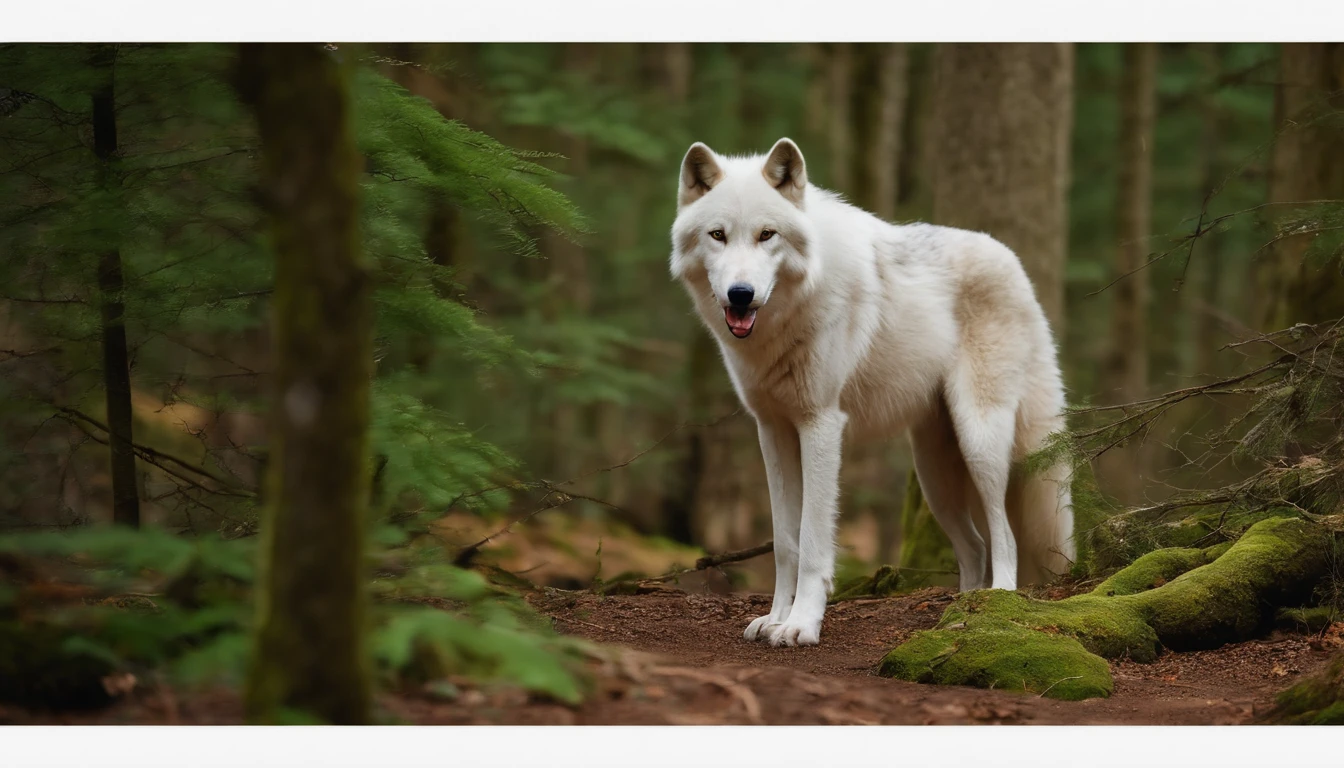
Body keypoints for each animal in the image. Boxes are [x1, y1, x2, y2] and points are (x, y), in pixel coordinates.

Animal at [669, 139, 1069, 648]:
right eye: (718, 235)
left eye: (766, 235)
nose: (742, 294)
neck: (789, 315)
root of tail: (1016, 266)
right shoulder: (772, 430)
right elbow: (784, 542)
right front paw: (774, 619)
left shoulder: (821, 425)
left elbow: (813, 541)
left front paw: (801, 625)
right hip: (934, 476)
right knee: (974, 545)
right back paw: (958, 612)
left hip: (980, 443)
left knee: (1004, 536)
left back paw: (995, 603)